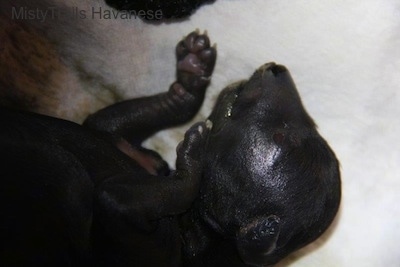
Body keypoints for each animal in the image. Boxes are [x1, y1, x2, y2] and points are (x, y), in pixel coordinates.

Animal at [0, 29, 340, 267]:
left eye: (282, 136)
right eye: (312, 125)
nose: (278, 68)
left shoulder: (131, 230)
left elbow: (133, 196)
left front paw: (194, 157)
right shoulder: (125, 146)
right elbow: (110, 121)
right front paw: (192, 75)